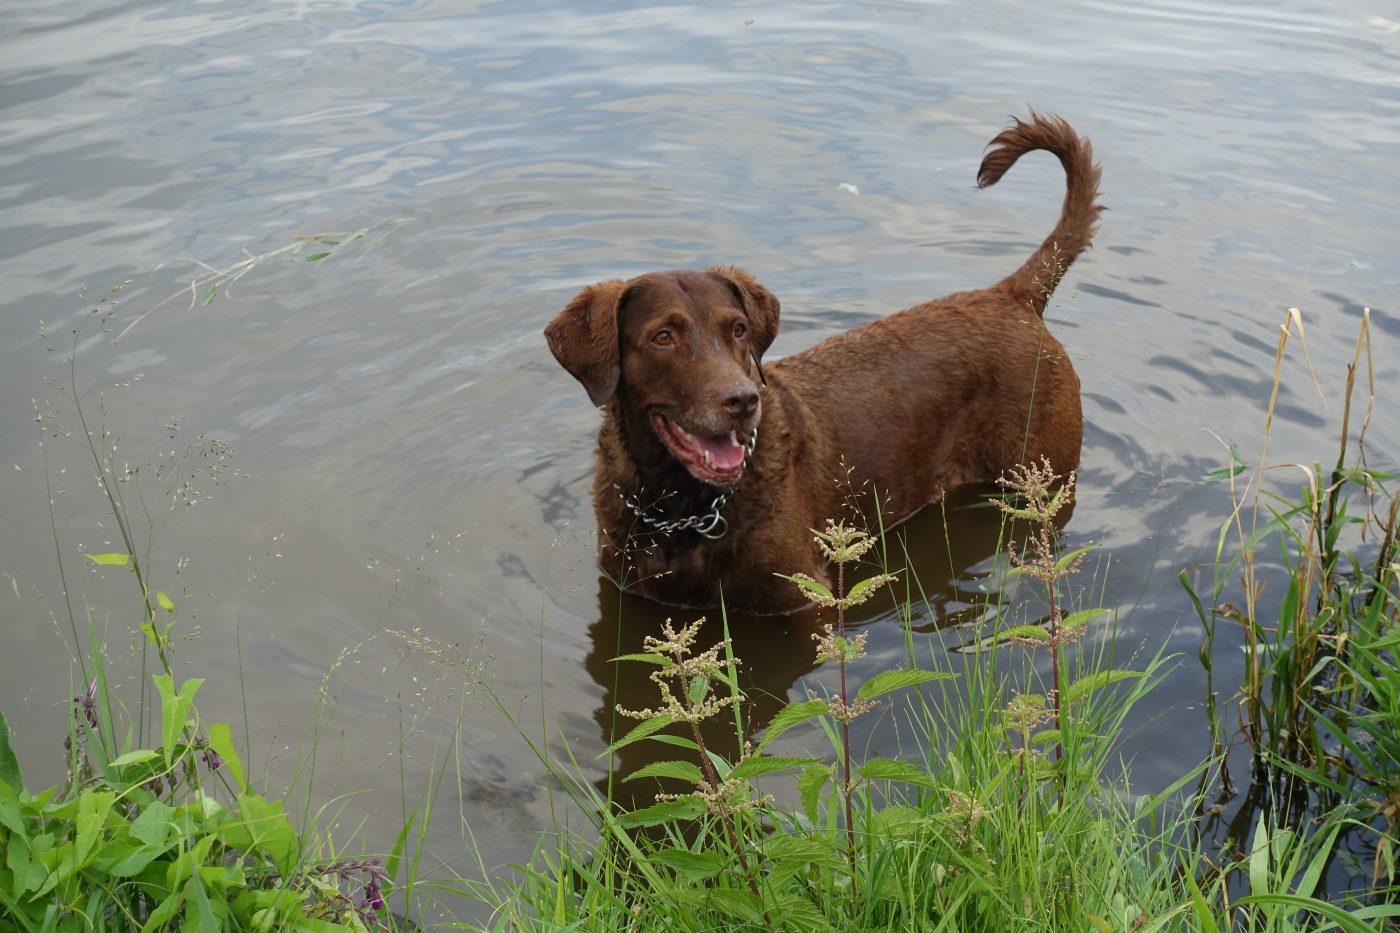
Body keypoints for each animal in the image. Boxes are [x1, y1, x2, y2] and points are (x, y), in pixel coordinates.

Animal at [546, 112, 1103, 610]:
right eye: (663, 337)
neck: (681, 507)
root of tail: (1012, 295)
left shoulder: (801, 599)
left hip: (1043, 471)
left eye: (738, 329)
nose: (742, 401)